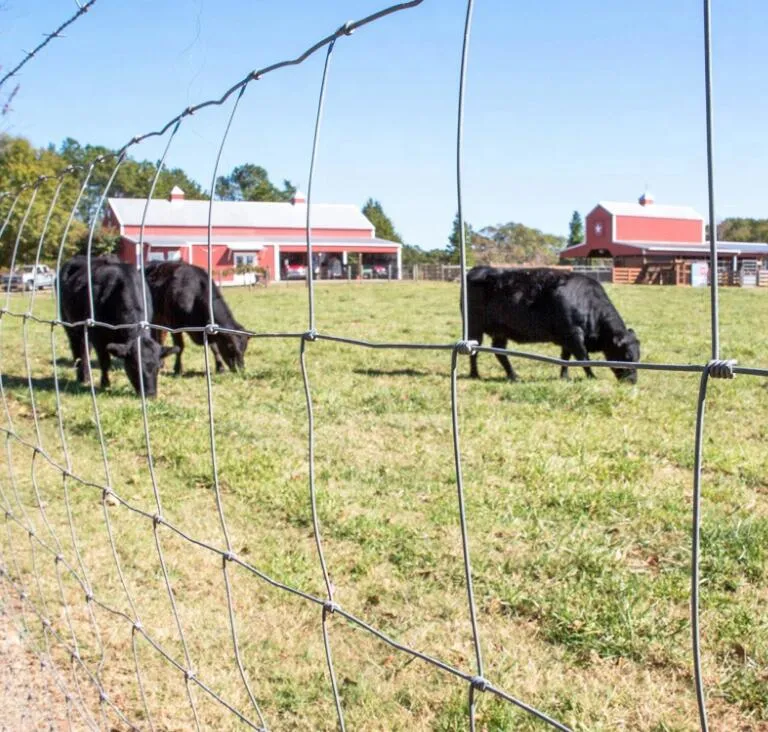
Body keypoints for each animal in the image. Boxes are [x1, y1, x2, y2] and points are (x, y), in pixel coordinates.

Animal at [58, 254, 178, 398]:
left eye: (158, 366)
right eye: (134, 366)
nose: (150, 394)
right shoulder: (98, 335)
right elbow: (105, 361)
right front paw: (105, 384)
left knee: (85, 348)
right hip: (69, 324)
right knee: (78, 349)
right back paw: (83, 377)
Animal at [464, 268, 640, 384]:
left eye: (638, 357)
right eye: (626, 356)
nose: (632, 381)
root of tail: (479, 270)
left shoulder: (568, 339)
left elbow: (565, 358)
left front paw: (564, 377)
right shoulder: (574, 335)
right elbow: (583, 358)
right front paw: (592, 378)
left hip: (501, 331)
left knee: (500, 352)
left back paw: (513, 376)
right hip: (474, 327)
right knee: (474, 351)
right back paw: (475, 374)